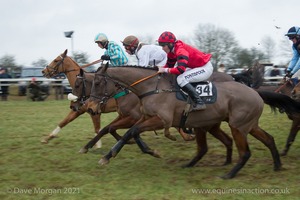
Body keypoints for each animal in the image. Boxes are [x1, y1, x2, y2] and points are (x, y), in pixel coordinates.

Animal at [90, 65, 282, 179]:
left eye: (97, 82)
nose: (91, 106)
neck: (153, 88)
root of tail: (255, 91)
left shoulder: (161, 120)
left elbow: (133, 132)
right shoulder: (145, 118)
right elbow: (130, 132)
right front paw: (109, 156)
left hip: (238, 126)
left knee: (245, 152)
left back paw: (229, 174)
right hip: (244, 125)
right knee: (268, 139)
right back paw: (277, 165)